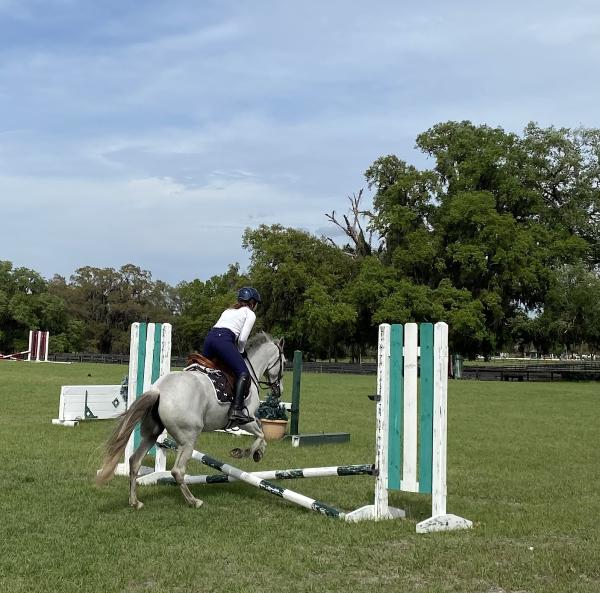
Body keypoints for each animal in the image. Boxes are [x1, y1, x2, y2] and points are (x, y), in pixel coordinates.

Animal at [97, 332, 284, 508]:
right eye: (284, 361)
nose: (279, 391)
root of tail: (159, 390)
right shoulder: (245, 420)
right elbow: (261, 434)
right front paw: (244, 453)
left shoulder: (250, 421)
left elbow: (262, 435)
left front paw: (259, 453)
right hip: (188, 438)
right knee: (178, 471)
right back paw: (194, 501)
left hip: (153, 434)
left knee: (135, 461)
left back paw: (135, 502)